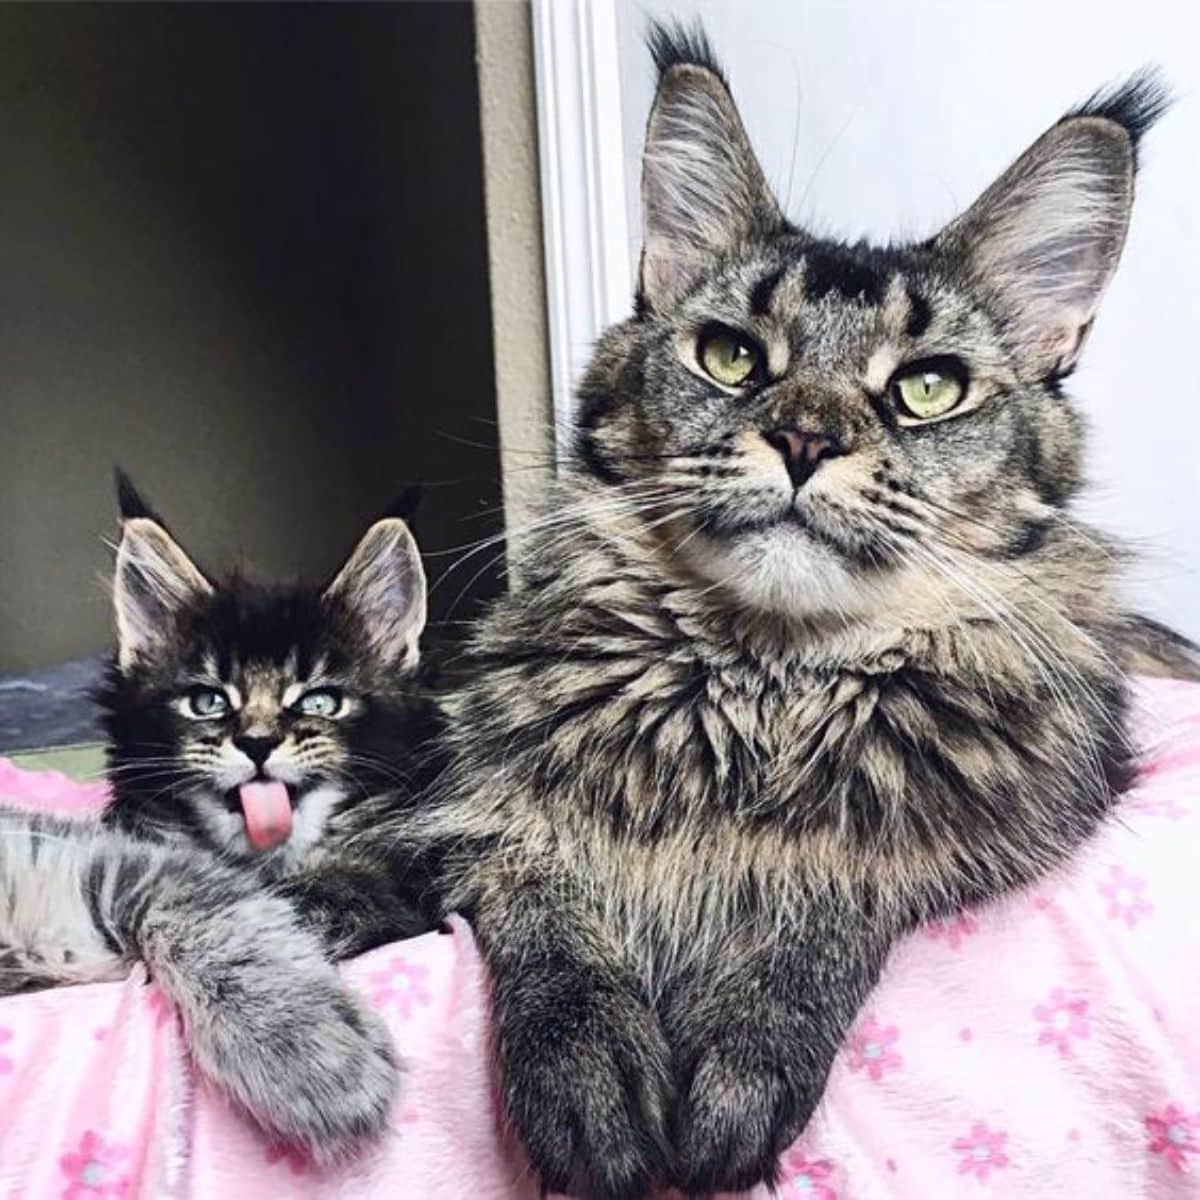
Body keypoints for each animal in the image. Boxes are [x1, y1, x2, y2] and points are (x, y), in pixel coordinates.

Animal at [422, 21, 1190, 1200]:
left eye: (928, 388)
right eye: (731, 357)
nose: (803, 439)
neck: (762, 682)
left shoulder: (1013, 822)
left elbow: (835, 883)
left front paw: (746, 1049)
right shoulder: (474, 811)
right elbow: (545, 903)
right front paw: (588, 1066)